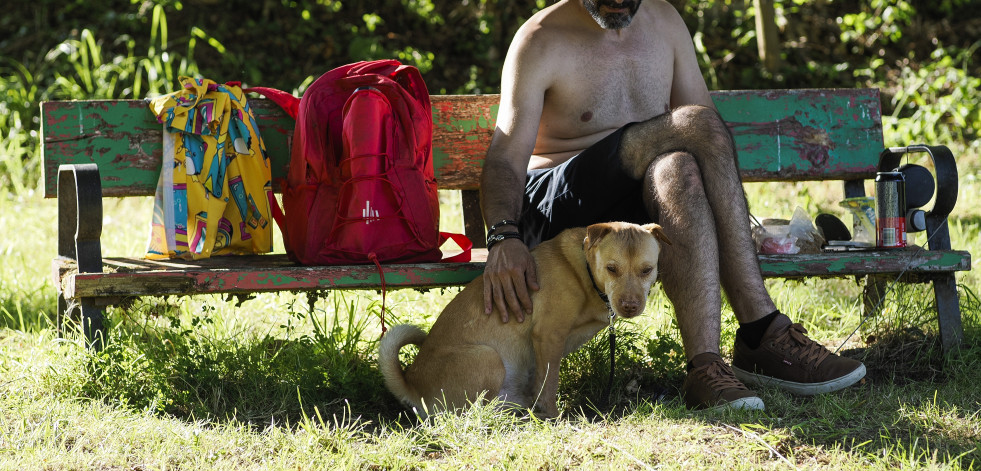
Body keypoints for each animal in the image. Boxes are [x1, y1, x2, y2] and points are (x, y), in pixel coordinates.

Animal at [376, 221, 668, 416]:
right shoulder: (549, 337)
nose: (629, 306)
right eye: (612, 269)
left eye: (647, 270)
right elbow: (549, 384)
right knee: (473, 415)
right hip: (488, 358)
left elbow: (542, 383)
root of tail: (412, 385)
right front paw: (554, 417)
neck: (584, 271)